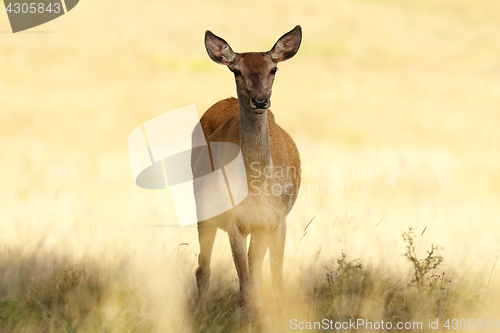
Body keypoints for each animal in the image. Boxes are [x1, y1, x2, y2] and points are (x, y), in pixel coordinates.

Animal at [191, 26, 300, 308]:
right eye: (236, 70)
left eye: (273, 69)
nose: (260, 100)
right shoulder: (233, 221)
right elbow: (245, 286)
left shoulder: (277, 219)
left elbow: (273, 279)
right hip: (203, 209)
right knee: (202, 269)